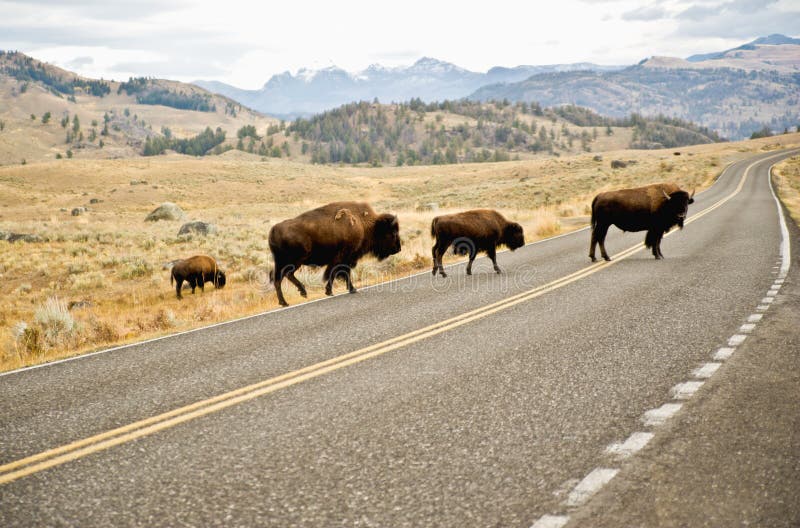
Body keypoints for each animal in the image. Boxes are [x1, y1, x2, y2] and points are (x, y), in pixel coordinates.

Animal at [268, 202, 401, 306]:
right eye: (392, 233)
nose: (398, 248)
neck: (364, 224)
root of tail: (274, 230)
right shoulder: (344, 257)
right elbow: (337, 272)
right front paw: (337, 290)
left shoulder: (344, 259)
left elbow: (340, 273)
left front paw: (344, 289)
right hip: (295, 261)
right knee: (285, 275)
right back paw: (296, 296)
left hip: (283, 262)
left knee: (279, 278)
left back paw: (287, 301)